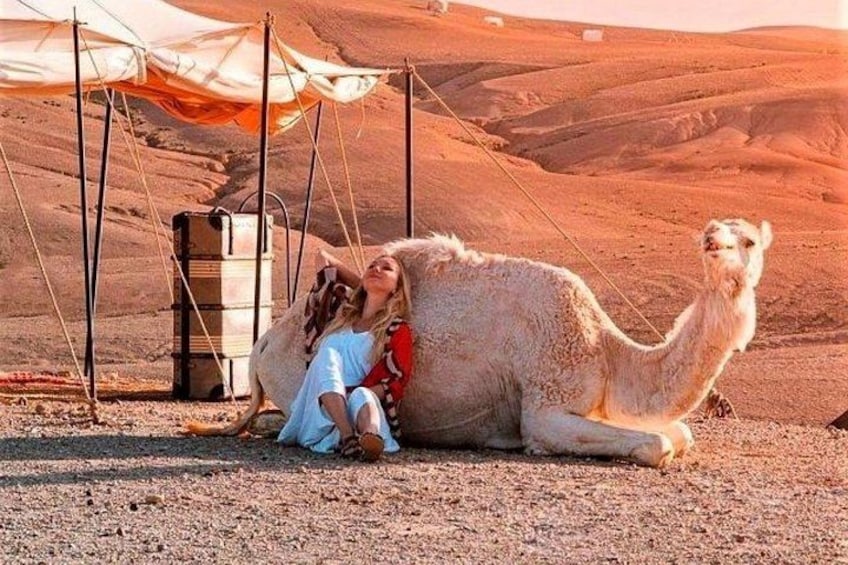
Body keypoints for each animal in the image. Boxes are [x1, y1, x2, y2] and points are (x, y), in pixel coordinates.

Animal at [188, 218, 772, 467]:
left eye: (747, 238)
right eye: (717, 230)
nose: (712, 241)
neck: (607, 354)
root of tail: (263, 344)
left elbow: (680, 434)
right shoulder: (545, 407)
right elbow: (657, 445)